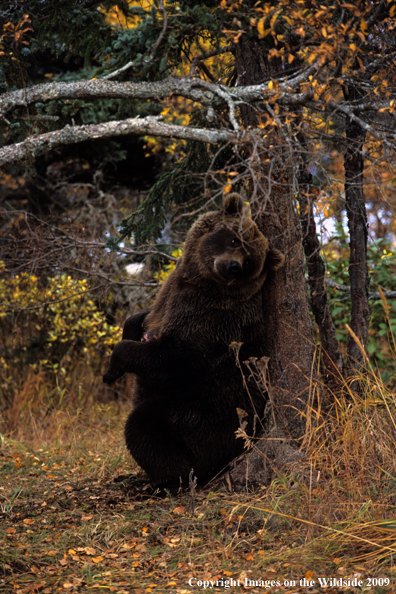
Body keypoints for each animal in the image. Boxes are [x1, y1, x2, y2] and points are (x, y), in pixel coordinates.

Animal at [103, 193, 284, 486]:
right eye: (234, 239)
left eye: (249, 262)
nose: (233, 267)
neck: (201, 282)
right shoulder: (173, 294)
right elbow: (142, 317)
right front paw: (131, 330)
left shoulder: (213, 321)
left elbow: (177, 356)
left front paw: (111, 370)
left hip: (206, 415)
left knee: (145, 425)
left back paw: (168, 479)